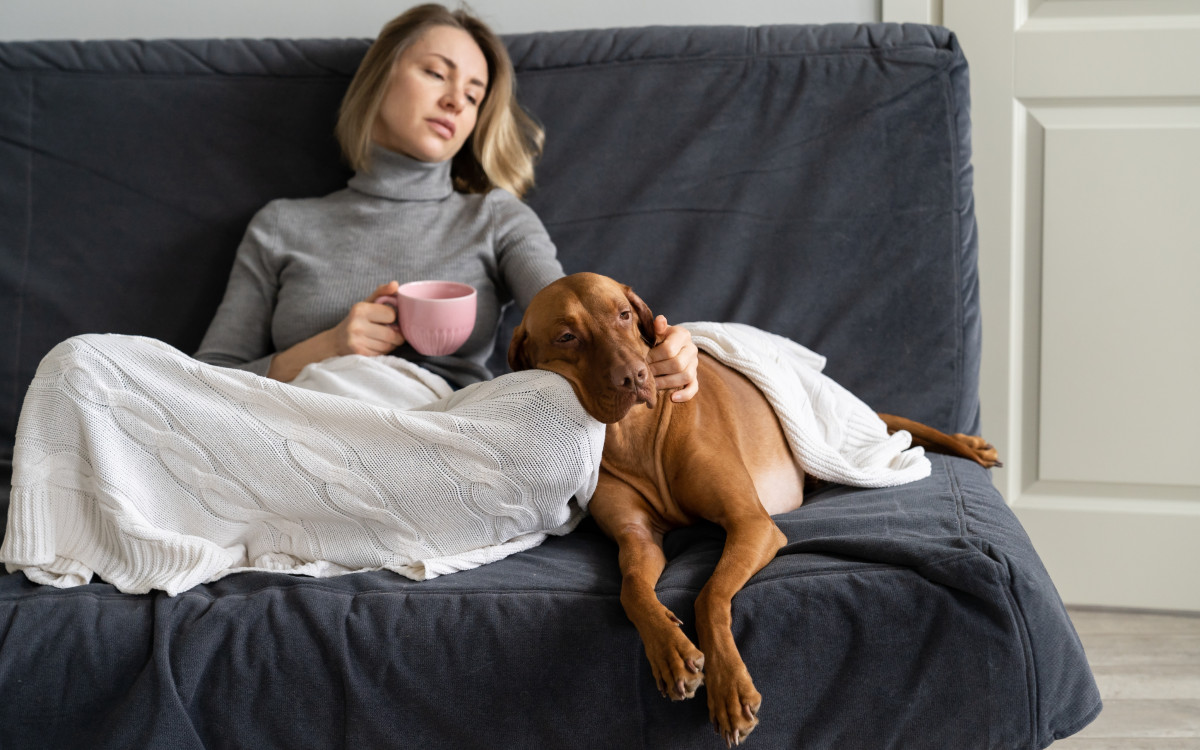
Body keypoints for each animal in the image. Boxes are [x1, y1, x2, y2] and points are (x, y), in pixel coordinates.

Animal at [508, 270, 1003, 744]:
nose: (635, 377)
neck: (637, 434)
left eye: (624, 314)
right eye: (566, 336)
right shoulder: (638, 538)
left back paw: (971, 446)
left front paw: (729, 689)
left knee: (900, 425)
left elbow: (709, 595)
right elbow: (632, 589)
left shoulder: (751, 523)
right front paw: (670, 650)